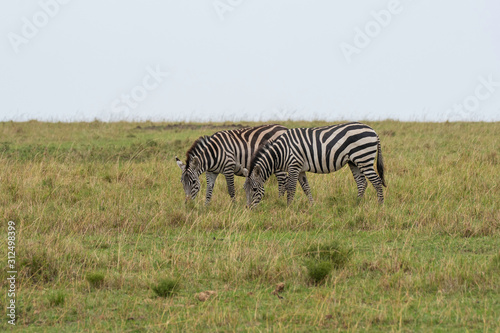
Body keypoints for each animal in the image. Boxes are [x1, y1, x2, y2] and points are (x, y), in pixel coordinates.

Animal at [242, 122, 386, 208]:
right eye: (245, 190)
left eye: (254, 189)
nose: (248, 209)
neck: (282, 151)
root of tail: (373, 131)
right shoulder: (300, 169)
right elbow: (306, 187)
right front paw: (312, 205)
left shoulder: (294, 166)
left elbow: (291, 187)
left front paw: (288, 207)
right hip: (354, 161)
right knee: (362, 183)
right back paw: (357, 204)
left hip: (364, 158)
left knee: (376, 181)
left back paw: (380, 205)